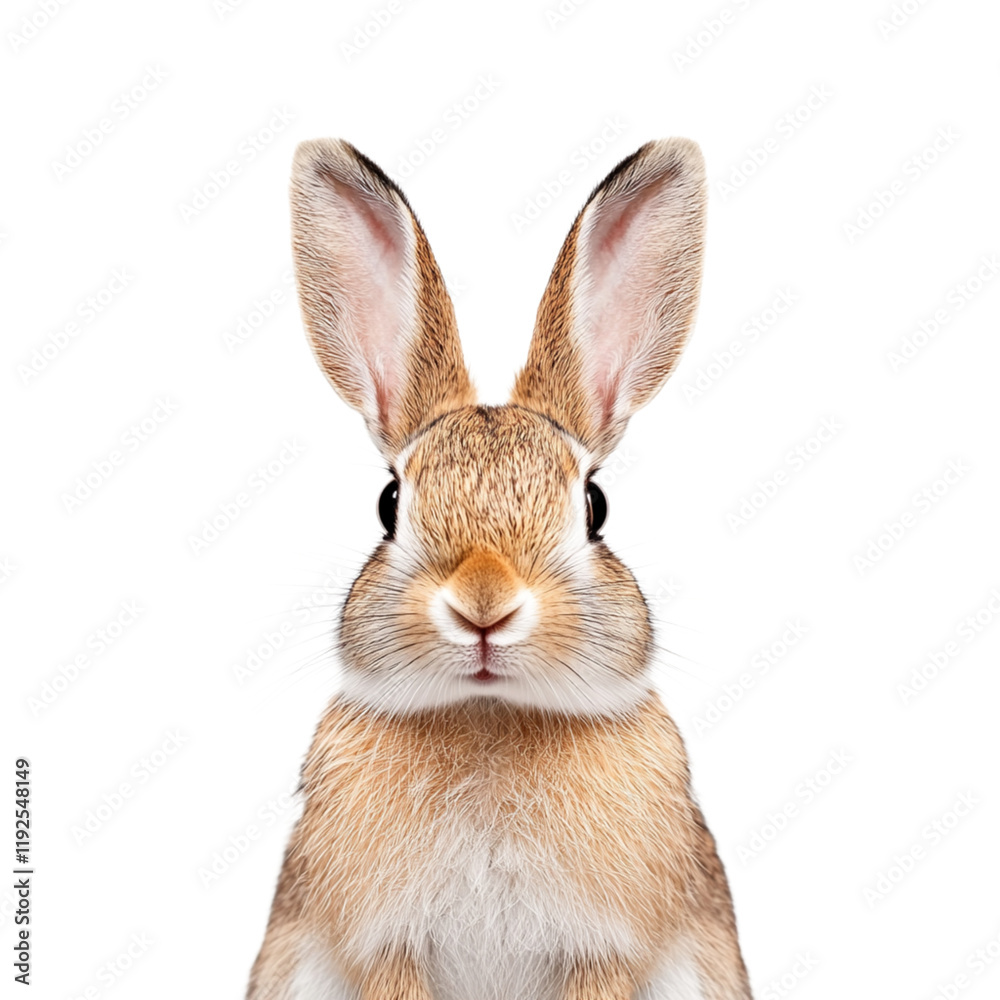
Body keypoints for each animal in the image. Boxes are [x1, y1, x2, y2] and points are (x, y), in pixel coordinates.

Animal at [247, 136, 752, 1000]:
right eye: (389, 502)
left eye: (595, 506)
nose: (484, 605)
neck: (488, 714)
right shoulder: (390, 952)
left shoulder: (601, 954)